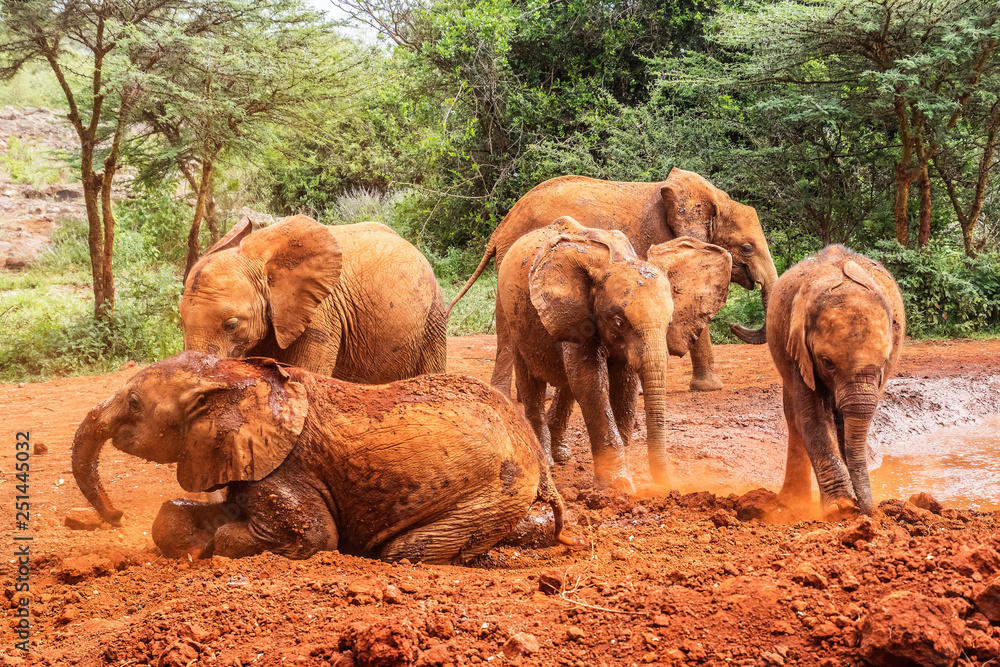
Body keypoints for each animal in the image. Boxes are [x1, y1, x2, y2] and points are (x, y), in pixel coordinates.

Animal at [71, 352, 575, 563]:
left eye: (134, 404)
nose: (114, 516)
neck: (237, 378)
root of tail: (537, 458)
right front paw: (193, 545)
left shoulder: (287, 467)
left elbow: (315, 537)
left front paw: (212, 548)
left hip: (493, 490)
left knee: (404, 553)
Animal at [497, 217, 733, 489]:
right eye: (619, 322)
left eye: (670, 323)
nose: (666, 486)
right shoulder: (579, 312)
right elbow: (590, 380)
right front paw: (618, 485)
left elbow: (625, 383)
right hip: (513, 316)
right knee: (532, 379)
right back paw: (546, 460)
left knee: (567, 384)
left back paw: (562, 454)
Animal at [767, 245, 905, 518]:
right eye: (827, 362)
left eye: (885, 361)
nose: (870, 512)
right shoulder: (796, 348)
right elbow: (812, 417)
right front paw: (840, 508)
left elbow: (844, 422)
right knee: (794, 415)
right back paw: (790, 501)